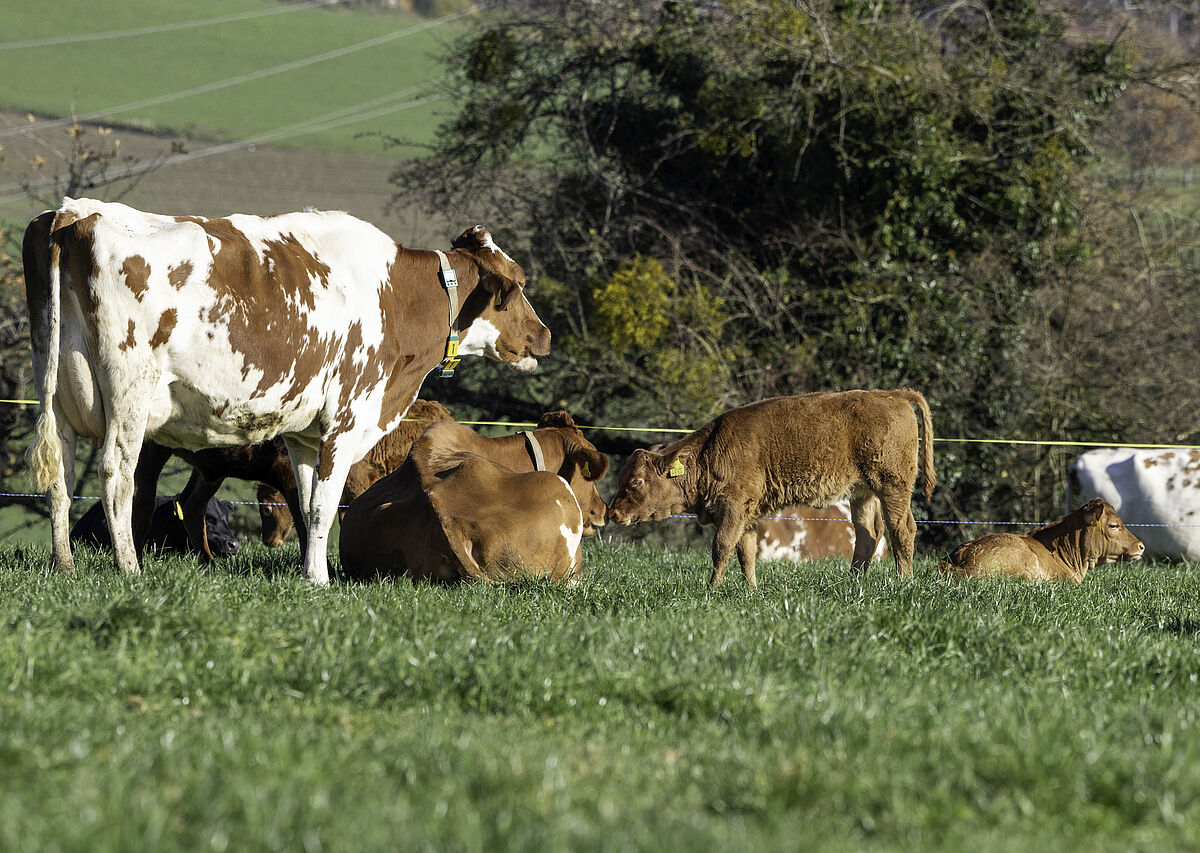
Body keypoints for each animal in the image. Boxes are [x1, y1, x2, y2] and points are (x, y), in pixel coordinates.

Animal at [604, 391, 931, 587]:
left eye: (636, 481)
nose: (613, 513)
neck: (710, 450)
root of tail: (893, 394)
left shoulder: (733, 508)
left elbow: (722, 547)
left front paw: (712, 588)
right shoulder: (747, 515)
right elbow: (745, 552)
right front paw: (751, 589)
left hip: (892, 486)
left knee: (901, 528)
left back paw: (903, 581)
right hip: (863, 492)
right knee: (868, 532)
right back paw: (853, 582)